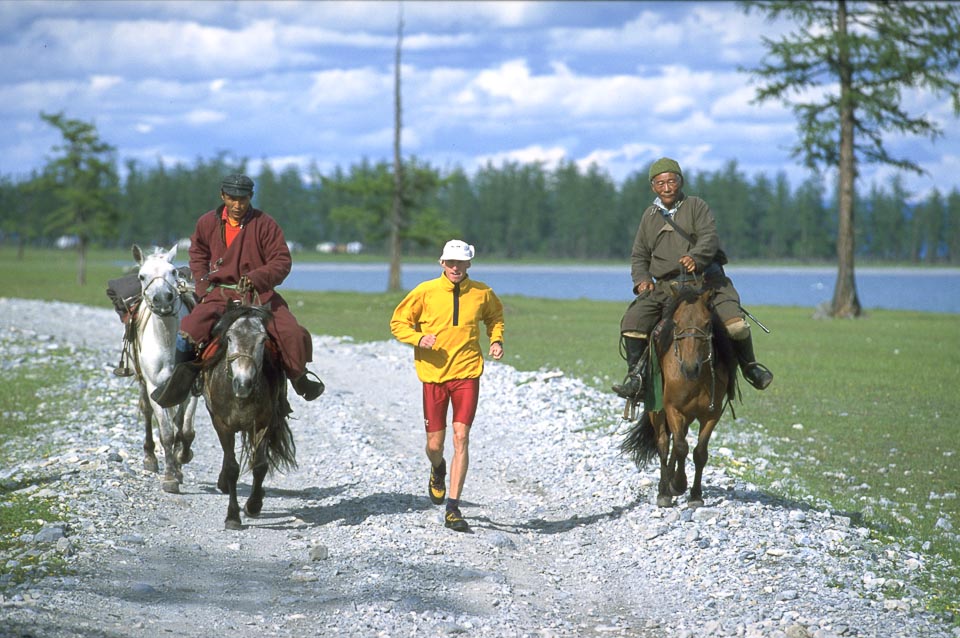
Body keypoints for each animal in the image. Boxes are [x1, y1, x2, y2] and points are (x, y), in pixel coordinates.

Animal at [129, 245, 199, 496]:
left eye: (173, 271)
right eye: (142, 276)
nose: (162, 299)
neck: (168, 343)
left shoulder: (191, 387)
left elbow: (185, 429)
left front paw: (182, 458)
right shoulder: (154, 387)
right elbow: (166, 433)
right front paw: (170, 477)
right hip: (144, 384)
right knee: (148, 412)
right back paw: (150, 457)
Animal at [201, 304, 294, 528]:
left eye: (262, 340)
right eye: (229, 338)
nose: (243, 384)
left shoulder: (262, 424)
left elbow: (260, 465)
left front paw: (253, 505)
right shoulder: (222, 425)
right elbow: (233, 467)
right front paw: (232, 516)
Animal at [624, 288, 736, 508]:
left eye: (707, 323)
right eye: (676, 324)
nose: (690, 368)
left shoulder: (711, 414)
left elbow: (699, 452)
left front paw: (695, 495)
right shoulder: (672, 409)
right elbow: (681, 447)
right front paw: (677, 486)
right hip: (657, 411)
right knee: (664, 444)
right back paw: (664, 490)